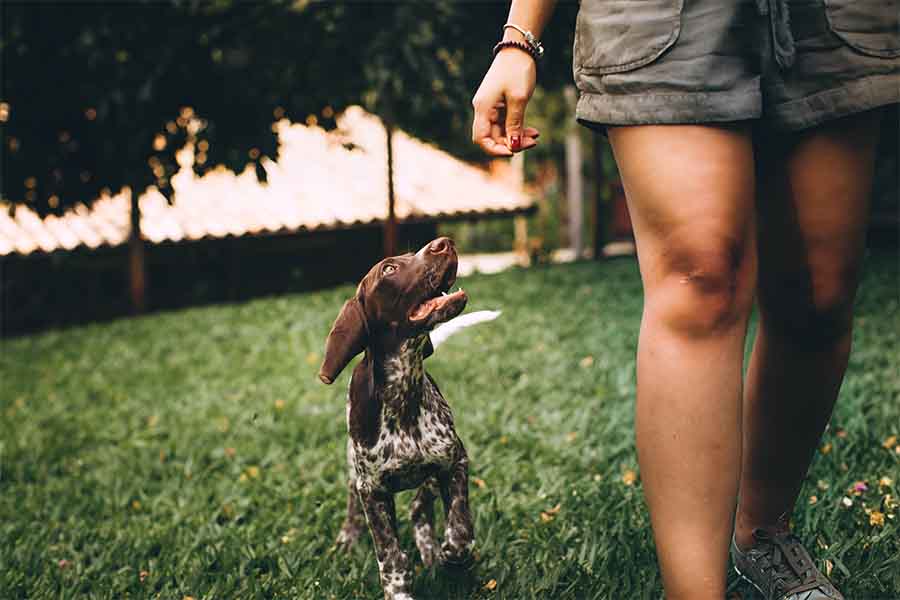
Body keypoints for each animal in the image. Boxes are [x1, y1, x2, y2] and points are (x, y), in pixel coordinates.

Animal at [320, 238, 482, 600]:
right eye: (389, 269)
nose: (443, 243)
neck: (403, 395)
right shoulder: (372, 491)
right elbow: (392, 558)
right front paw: (399, 590)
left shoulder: (454, 461)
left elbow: (460, 527)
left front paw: (452, 554)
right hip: (353, 467)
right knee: (355, 503)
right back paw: (349, 537)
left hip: (430, 476)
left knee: (420, 508)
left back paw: (432, 550)